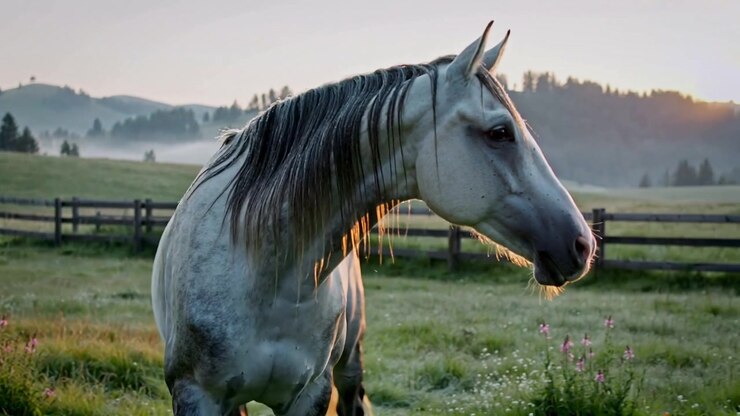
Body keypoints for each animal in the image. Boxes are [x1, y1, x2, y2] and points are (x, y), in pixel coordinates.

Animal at [151, 21, 596, 415]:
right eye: (500, 132)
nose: (583, 244)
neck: (264, 273)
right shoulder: (196, 394)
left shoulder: (310, 394)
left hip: (349, 363)